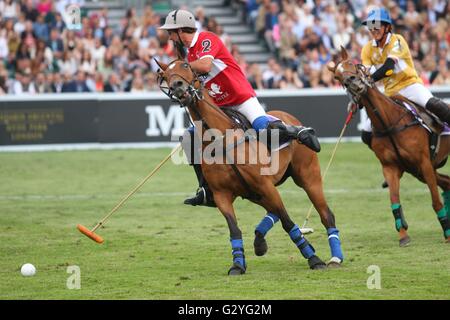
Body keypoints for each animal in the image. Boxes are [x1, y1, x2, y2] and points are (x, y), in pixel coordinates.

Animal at [156, 58, 342, 274]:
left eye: (185, 66)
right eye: (165, 75)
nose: (177, 87)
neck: (221, 139)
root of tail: (288, 116)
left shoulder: (264, 185)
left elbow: (288, 223)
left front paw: (314, 259)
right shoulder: (222, 194)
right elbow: (234, 229)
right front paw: (237, 264)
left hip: (307, 177)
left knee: (325, 214)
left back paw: (336, 257)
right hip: (256, 193)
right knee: (275, 211)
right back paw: (260, 241)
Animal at [326, 47, 450, 245]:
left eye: (352, 63)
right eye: (337, 77)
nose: (353, 82)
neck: (389, 123)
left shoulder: (424, 162)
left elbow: (435, 201)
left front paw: (447, 234)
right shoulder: (391, 167)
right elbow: (394, 200)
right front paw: (403, 235)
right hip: (419, 172)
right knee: (447, 182)